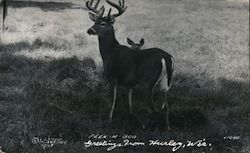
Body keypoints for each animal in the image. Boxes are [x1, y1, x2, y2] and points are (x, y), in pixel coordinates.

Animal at [85, 0, 174, 130]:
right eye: (94, 22)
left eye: (102, 23)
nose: (90, 30)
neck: (109, 52)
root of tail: (166, 57)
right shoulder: (129, 84)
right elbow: (129, 101)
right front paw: (131, 116)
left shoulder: (112, 77)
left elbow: (112, 101)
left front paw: (109, 120)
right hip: (165, 83)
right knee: (166, 106)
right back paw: (167, 128)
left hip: (146, 83)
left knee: (154, 109)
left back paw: (146, 127)